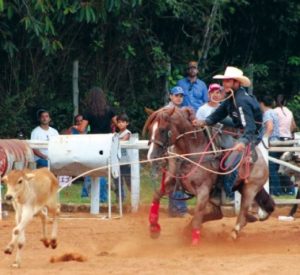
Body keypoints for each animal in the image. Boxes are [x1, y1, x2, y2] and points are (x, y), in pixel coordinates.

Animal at [144, 106, 276, 245]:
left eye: (162, 130)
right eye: (150, 129)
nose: (151, 156)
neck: (194, 150)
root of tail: (261, 157)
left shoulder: (203, 190)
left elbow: (198, 215)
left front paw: (194, 242)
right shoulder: (174, 181)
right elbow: (157, 195)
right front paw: (154, 228)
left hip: (250, 188)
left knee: (242, 212)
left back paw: (233, 234)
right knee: (219, 213)